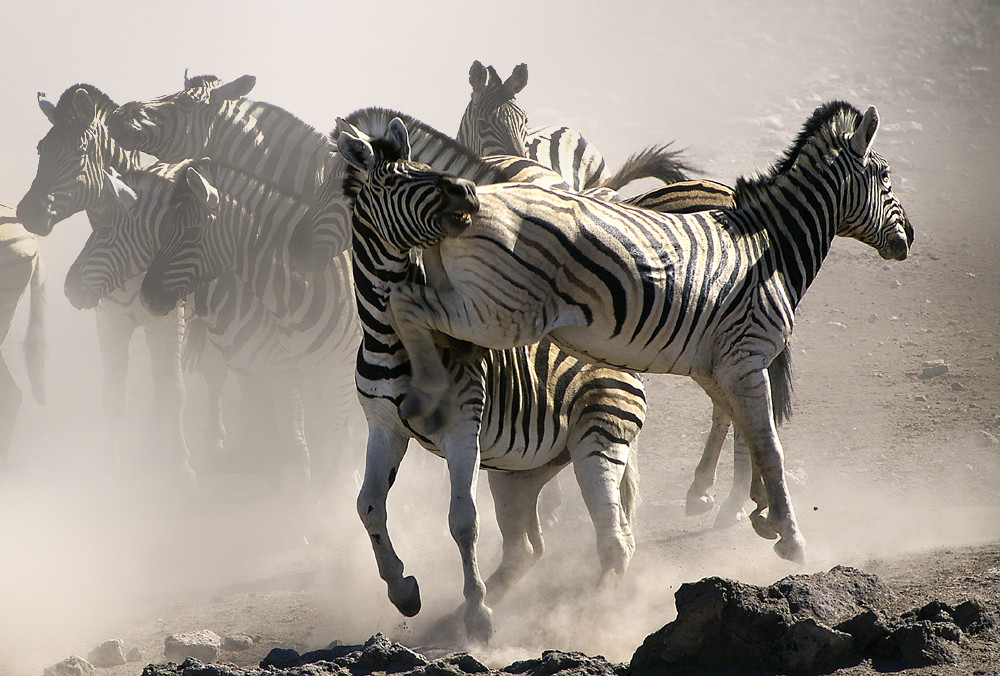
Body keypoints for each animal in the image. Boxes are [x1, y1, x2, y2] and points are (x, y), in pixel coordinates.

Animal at [15, 84, 198, 476]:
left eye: (79, 152)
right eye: (40, 149)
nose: (29, 213)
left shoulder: (167, 320)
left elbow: (175, 390)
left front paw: (181, 467)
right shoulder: (109, 319)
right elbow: (113, 396)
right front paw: (110, 469)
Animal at [334, 101, 916, 564]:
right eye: (885, 177)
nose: (908, 237)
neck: (769, 244)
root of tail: (476, 199)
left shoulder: (720, 360)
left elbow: (749, 430)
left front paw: (760, 514)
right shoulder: (747, 354)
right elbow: (769, 445)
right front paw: (790, 537)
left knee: (411, 306)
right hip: (498, 312)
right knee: (408, 304)